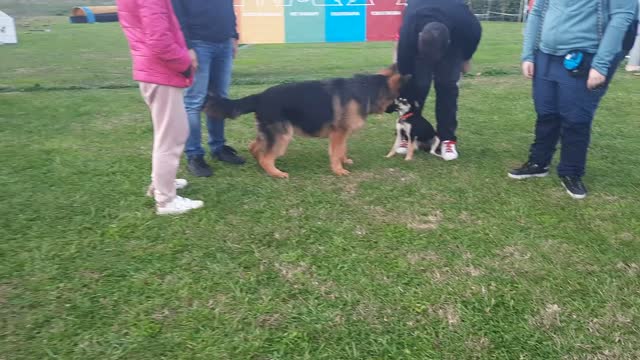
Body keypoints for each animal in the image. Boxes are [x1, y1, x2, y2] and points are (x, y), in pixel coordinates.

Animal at [205, 64, 410, 179]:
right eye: (400, 98)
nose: (402, 109)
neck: (367, 90)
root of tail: (260, 96)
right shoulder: (338, 133)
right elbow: (336, 152)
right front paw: (338, 170)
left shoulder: (342, 134)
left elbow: (342, 149)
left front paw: (344, 161)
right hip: (283, 135)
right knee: (265, 156)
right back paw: (275, 173)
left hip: (270, 132)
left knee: (254, 147)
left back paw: (262, 166)